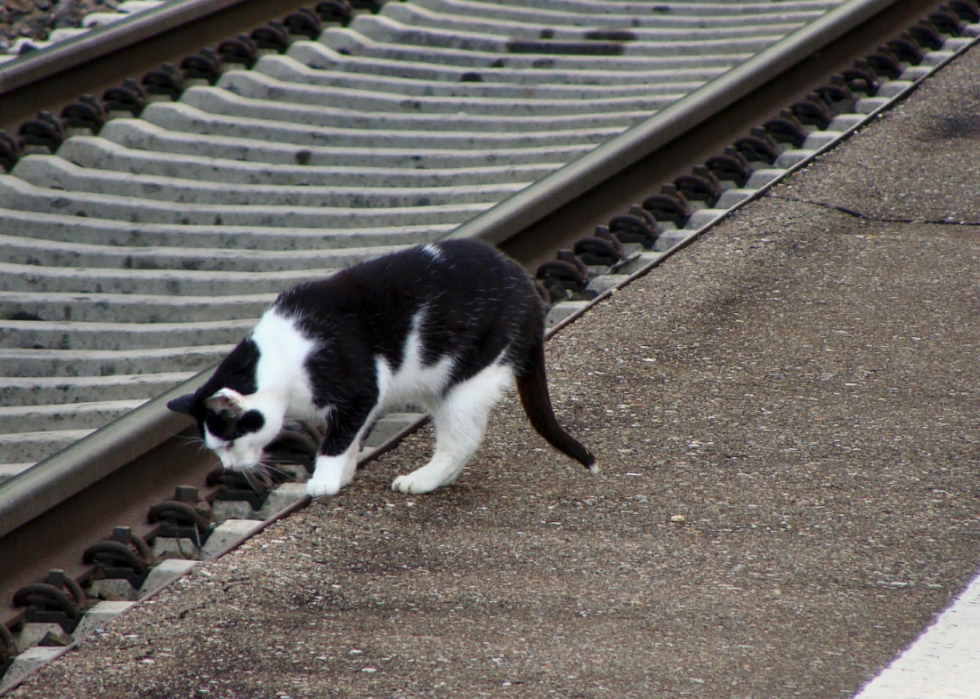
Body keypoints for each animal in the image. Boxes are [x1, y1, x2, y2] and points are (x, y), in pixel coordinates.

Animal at [167, 241, 592, 498]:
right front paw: (343, 473)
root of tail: (526, 286)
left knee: (462, 440)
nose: (230, 467)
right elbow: (350, 437)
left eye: (227, 443)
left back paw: (423, 479)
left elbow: (337, 439)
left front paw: (324, 479)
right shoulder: (361, 404)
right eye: (216, 450)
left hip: (468, 380)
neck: (284, 355)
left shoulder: (360, 391)